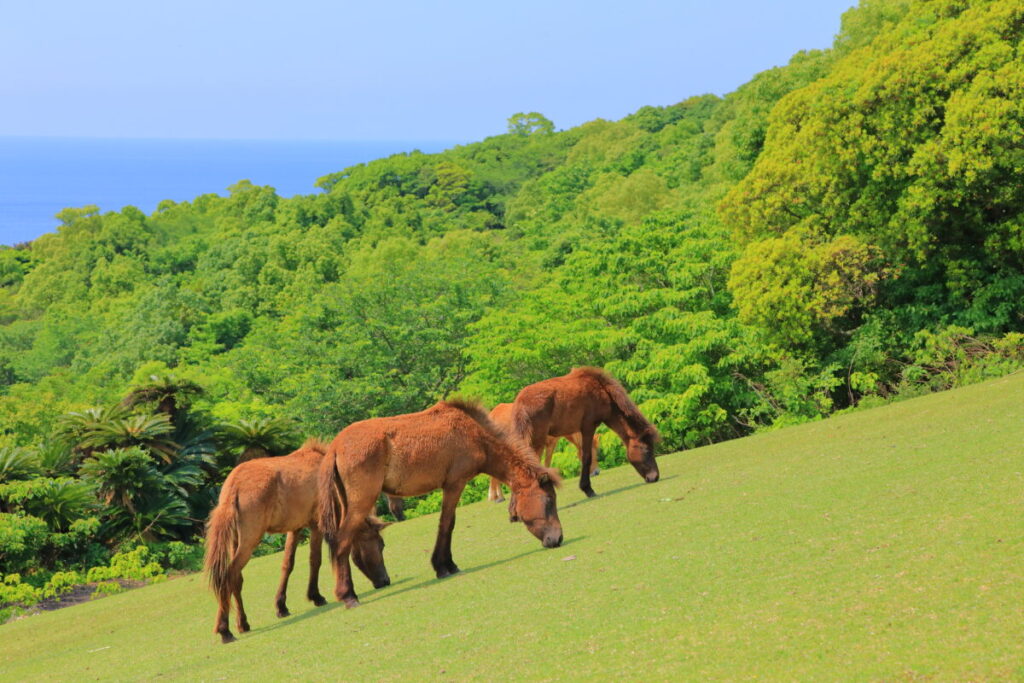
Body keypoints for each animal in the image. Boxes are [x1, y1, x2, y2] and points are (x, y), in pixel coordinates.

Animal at [204, 440, 392, 644]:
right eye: (381, 545)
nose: (385, 580)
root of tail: (234, 486)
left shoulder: (295, 528)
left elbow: (288, 564)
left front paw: (281, 606)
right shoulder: (316, 524)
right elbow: (315, 560)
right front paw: (316, 596)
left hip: (236, 541)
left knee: (236, 579)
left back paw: (242, 623)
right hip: (249, 541)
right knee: (229, 575)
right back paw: (225, 630)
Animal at [318, 398, 563, 608]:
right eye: (549, 501)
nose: (558, 538)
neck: (474, 433)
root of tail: (335, 446)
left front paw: (446, 565)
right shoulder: (454, 484)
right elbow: (447, 524)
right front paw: (444, 566)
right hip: (361, 503)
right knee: (341, 542)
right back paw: (348, 596)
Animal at [507, 367, 660, 498]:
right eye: (647, 450)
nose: (655, 476)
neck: (601, 390)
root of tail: (521, 403)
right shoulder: (587, 427)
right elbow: (586, 457)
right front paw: (587, 488)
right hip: (537, 442)